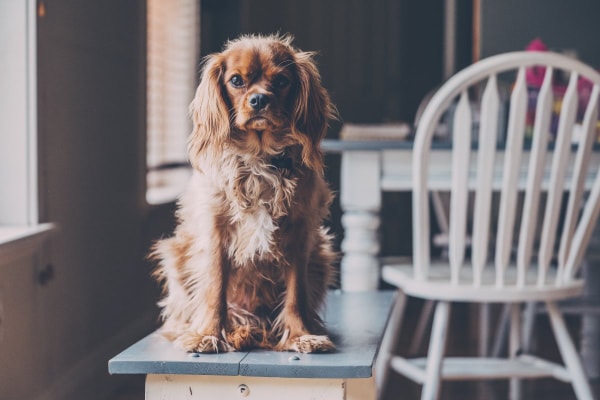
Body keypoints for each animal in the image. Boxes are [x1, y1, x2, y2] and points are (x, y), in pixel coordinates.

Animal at [150, 34, 338, 354]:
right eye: (236, 80)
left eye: (282, 81)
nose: (259, 99)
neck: (259, 156)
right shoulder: (216, 231)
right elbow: (215, 289)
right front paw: (208, 334)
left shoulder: (301, 234)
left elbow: (296, 294)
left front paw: (301, 335)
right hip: (175, 253)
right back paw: (231, 331)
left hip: (321, 254)